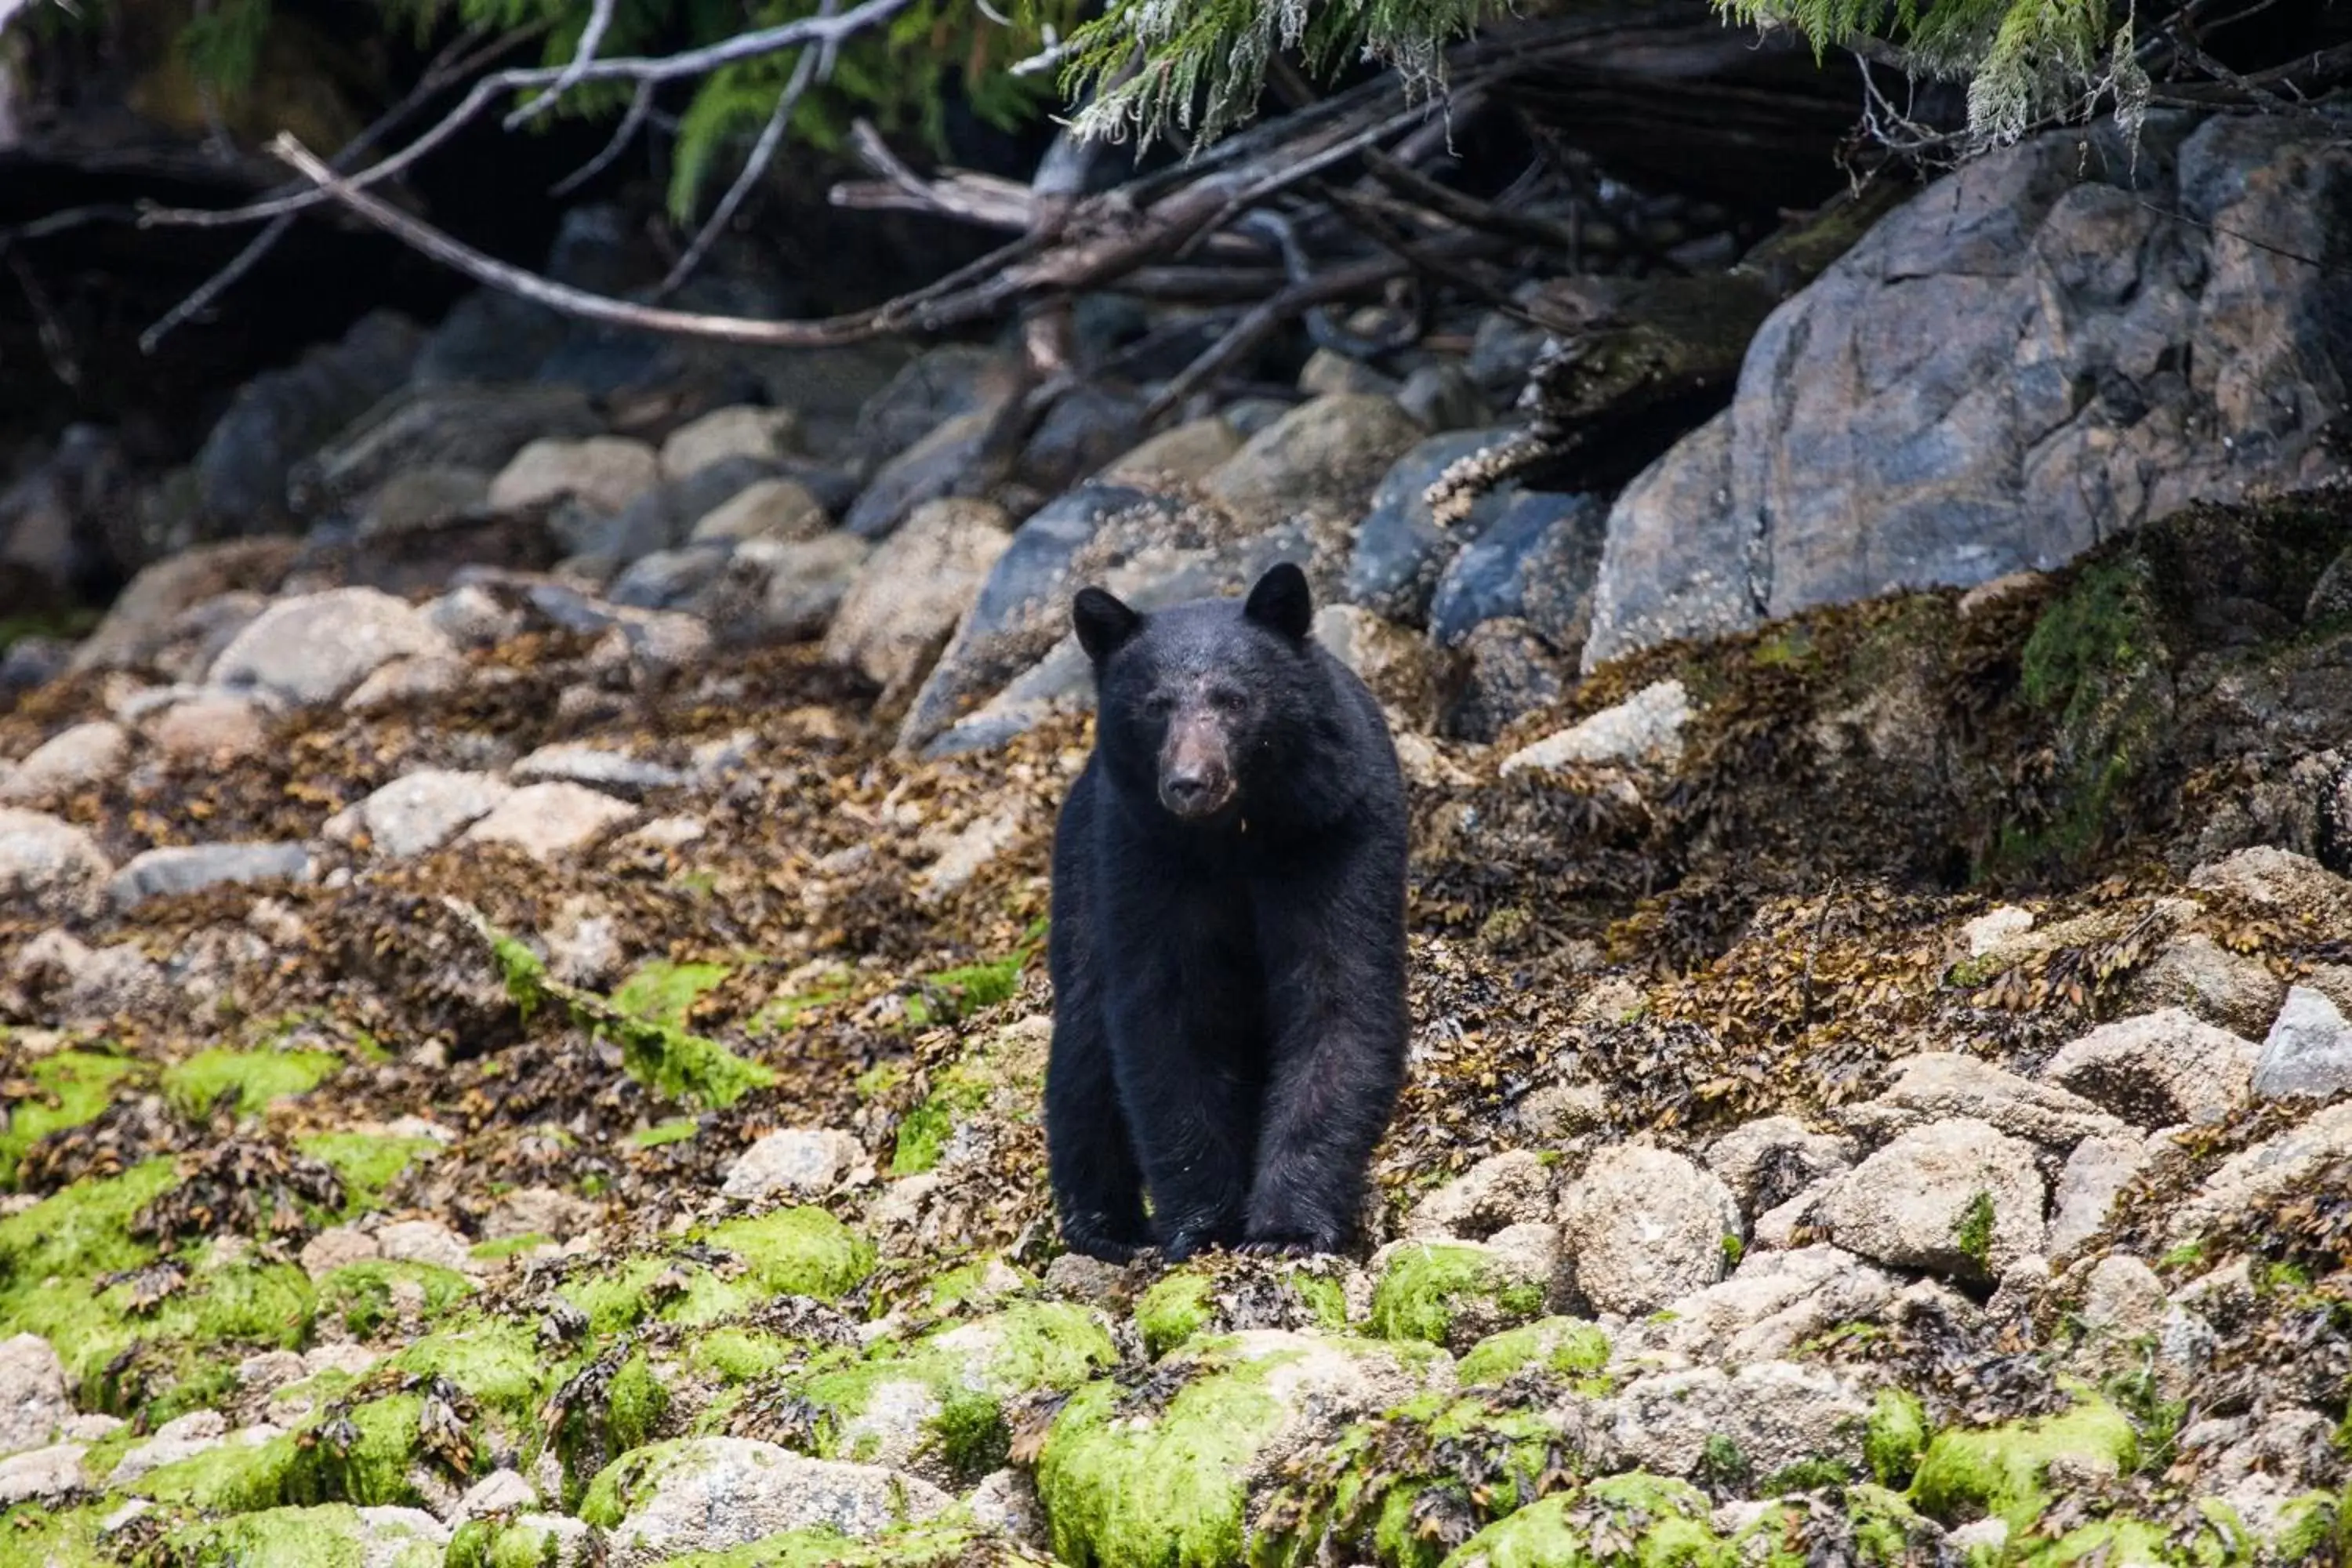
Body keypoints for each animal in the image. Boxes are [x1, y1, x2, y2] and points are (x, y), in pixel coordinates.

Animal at [1054, 564, 1411, 1260]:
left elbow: (1338, 993)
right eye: (1155, 705)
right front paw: (1204, 1225)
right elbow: (1168, 1013)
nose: (1189, 783)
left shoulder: (1336, 831)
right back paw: (1102, 1226)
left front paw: (1288, 1226)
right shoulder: (1145, 859)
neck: (1236, 838)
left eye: (1234, 700)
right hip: (1081, 875)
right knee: (1082, 1039)